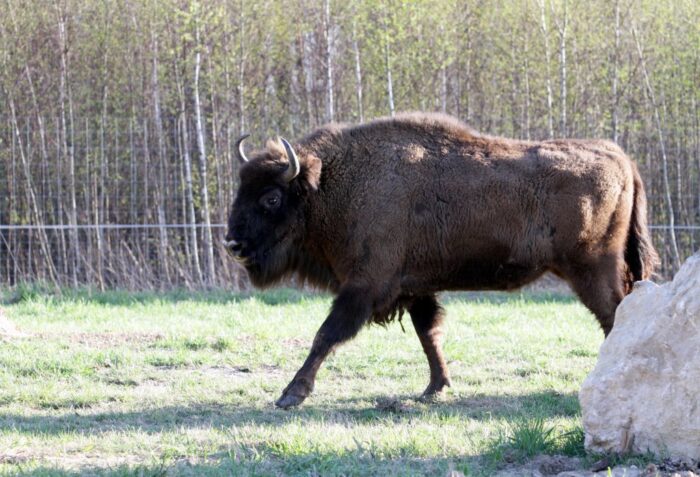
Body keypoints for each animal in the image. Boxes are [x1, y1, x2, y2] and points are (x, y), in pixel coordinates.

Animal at [224, 112, 658, 409]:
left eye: (271, 198)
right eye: (240, 189)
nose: (232, 244)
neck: (331, 186)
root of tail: (621, 158)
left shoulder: (364, 285)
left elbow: (326, 335)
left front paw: (290, 395)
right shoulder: (414, 287)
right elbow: (428, 334)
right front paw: (435, 388)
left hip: (591, 268)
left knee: (614, 314)